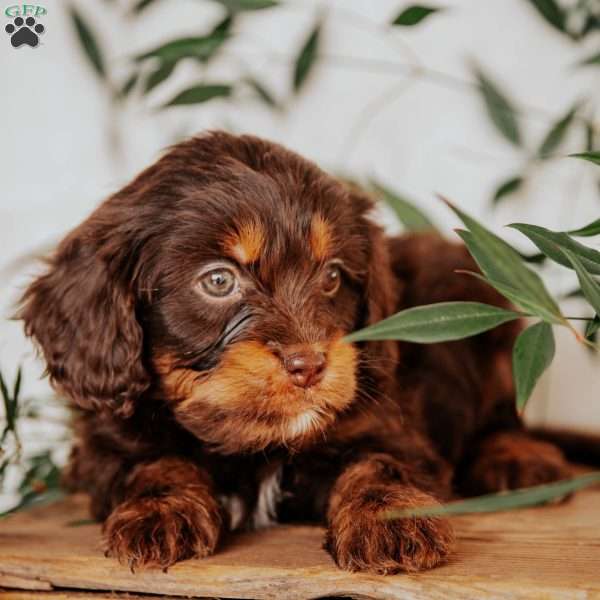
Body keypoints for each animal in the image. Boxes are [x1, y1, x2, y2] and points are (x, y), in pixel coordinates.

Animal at [19, 134, 572, 576]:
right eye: (218, 281)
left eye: (331, 276)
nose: (310, 365)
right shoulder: (105, 445)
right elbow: (155, 463)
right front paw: (159, 513)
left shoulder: (388, 424)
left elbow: (378, 464)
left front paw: (391, 521)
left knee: (503, 415)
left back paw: (518, 459)